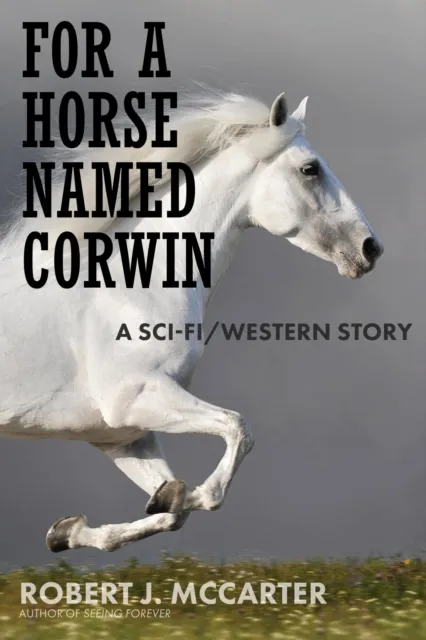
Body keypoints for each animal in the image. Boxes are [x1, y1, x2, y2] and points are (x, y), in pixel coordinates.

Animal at [0, 91, 383, 552]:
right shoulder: (137, 397)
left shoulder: (124, 433)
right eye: (310, 169)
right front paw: (189, 494)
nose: (370, 248)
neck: (132, 284)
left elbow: (170, 513)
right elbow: (237, 432)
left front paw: (67, 532)